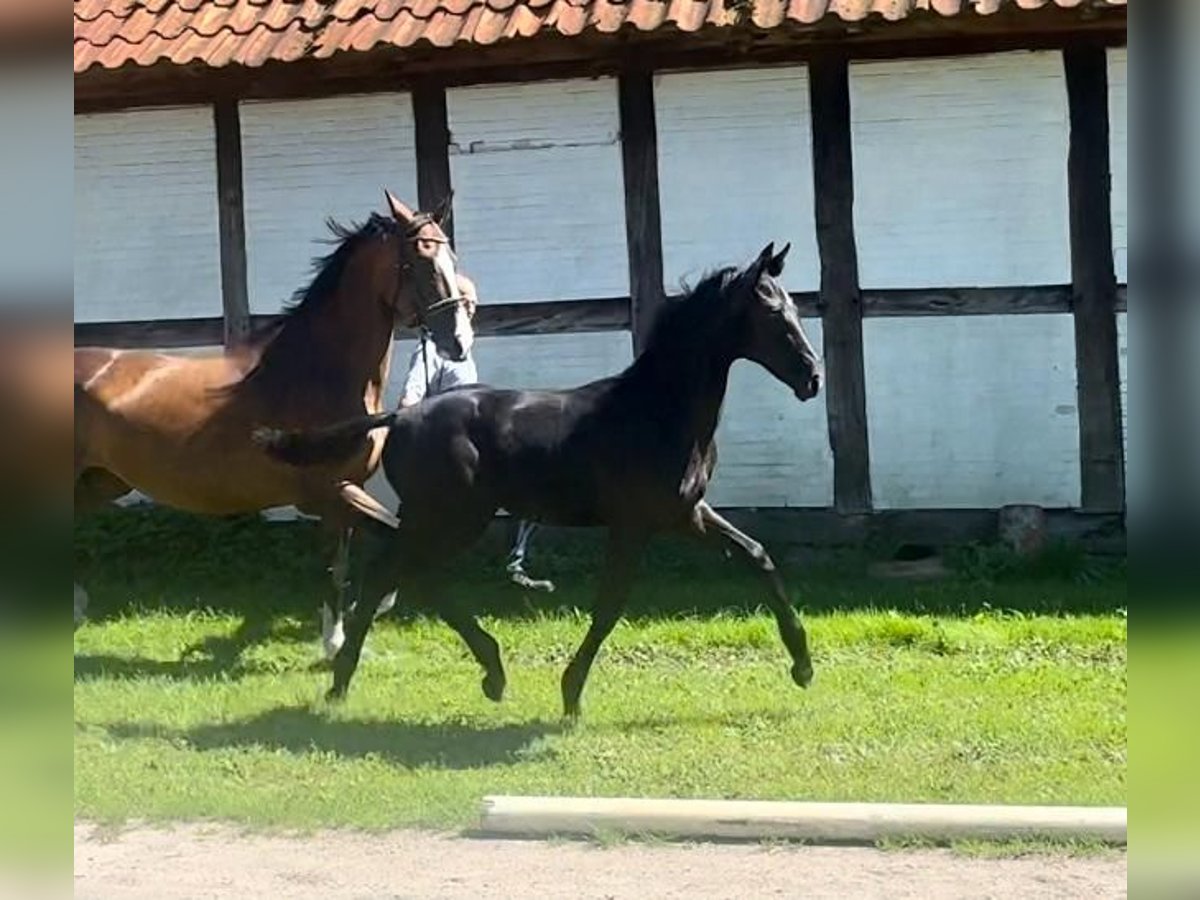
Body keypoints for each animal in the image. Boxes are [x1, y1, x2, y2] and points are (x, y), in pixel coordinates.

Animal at [72, 192, 470, 657]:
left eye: (450, 256)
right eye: (420, 259)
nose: (459, 341)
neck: (317, 372)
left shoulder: (346, 492)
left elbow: (346, 559)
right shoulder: (329, 492)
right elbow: (367, 548)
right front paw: (337, 642)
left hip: (100, 482)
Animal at [258, 241, 825, 720]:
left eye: (795, 307)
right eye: (773, 313)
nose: (813, 378)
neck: (656, 412)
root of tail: (401, 418)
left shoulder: (685, 514)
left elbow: (756, 555)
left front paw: (802, 666)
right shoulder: (633, 525)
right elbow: (609, 605)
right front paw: (571, 695)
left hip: (442, 520)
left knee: (405, 575)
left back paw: (477, 672)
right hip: (452, 519)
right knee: (392, 574)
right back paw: (353, 682)